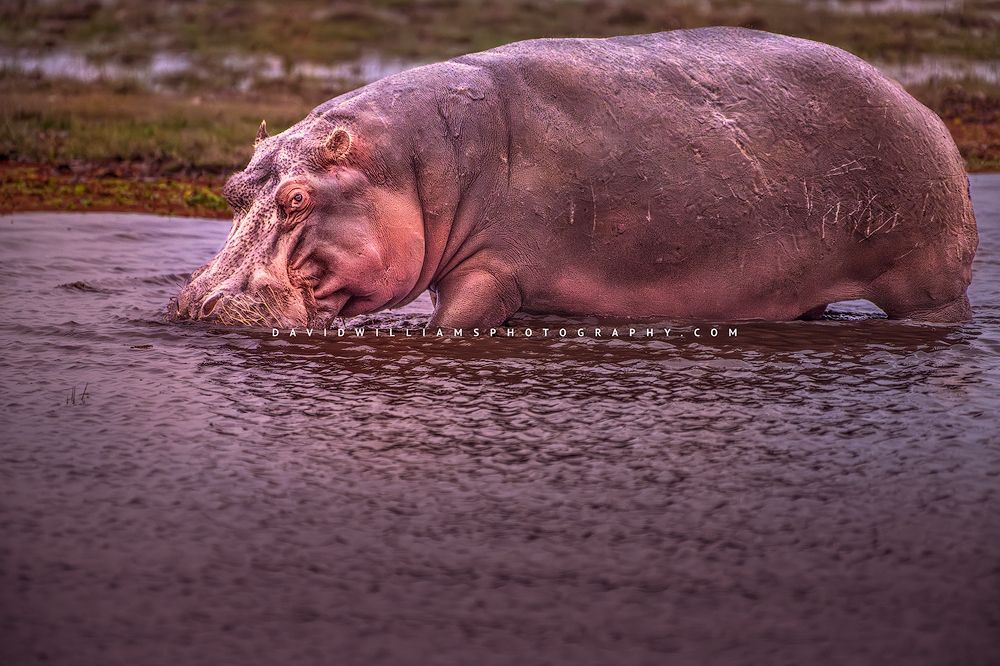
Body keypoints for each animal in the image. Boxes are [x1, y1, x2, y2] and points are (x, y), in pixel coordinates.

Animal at [172, 27, 978, 329]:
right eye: (235, 189)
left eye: (296, 197)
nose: (198, 303)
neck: (411, 165)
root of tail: (926, 110)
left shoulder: (491, 270)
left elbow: (450, 324)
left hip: (928, 278)